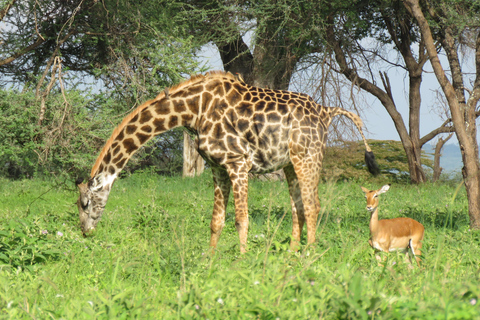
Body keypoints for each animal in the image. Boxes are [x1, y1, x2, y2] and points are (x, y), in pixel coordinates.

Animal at [77, 70, 378, 252]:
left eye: (85, 203)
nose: (84, 232)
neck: (194, 110)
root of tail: (326, 111)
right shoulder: (216, 166)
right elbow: (217, 220)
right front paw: (209, 261)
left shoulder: (238, 162)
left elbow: (242, 219)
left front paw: (241, 261)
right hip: (291, 164)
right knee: (299, 208)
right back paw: (292, 254)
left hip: (308, 156)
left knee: (314, 205)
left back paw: (309, 255)